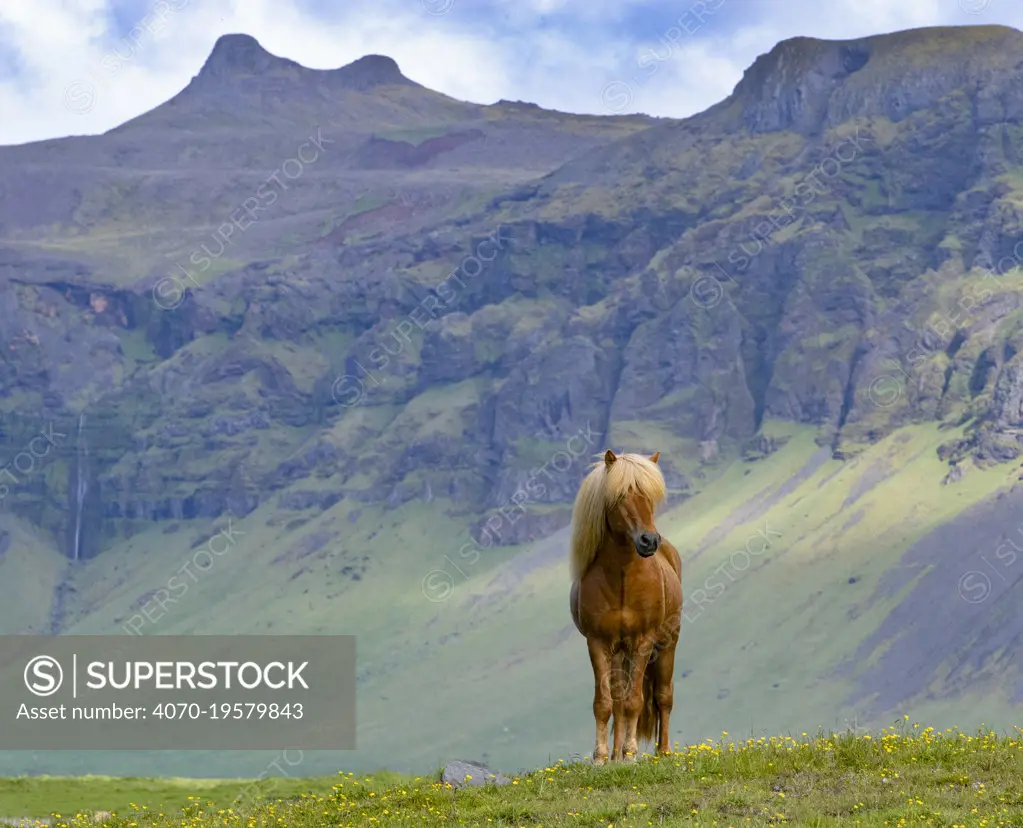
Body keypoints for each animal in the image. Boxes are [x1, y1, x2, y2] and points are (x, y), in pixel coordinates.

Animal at [572, 452, 683, 761]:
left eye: (650, 496)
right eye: (620, 495)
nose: (649, 540)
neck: (622, 581)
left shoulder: (643, 641)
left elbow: (636, 701)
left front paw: (632, 754)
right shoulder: (598, 642)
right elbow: (605, 703)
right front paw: (601, 757)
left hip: (667, 643)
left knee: (663, 697)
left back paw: (663, 752)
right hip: (620, 652)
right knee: (619, 701)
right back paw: (615, 756)